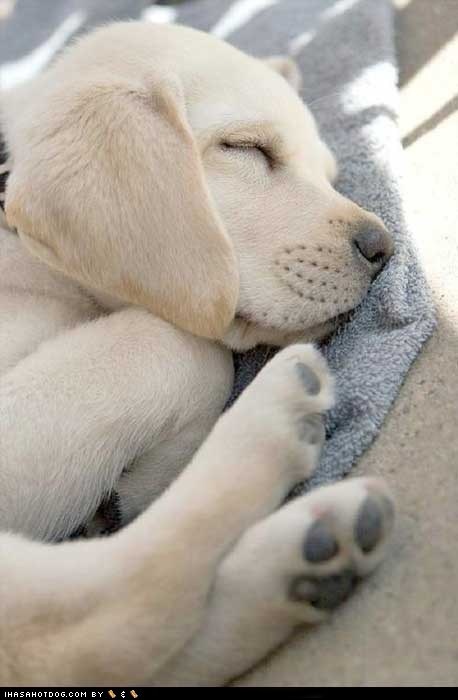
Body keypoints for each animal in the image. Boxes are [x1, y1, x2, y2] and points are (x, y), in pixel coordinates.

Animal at [0, 23, 394, 688]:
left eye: (330, 174)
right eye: (247, 149)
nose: (384, 247)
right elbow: (182, 346)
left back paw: (309, 557)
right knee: (94, 621)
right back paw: (274, 422)